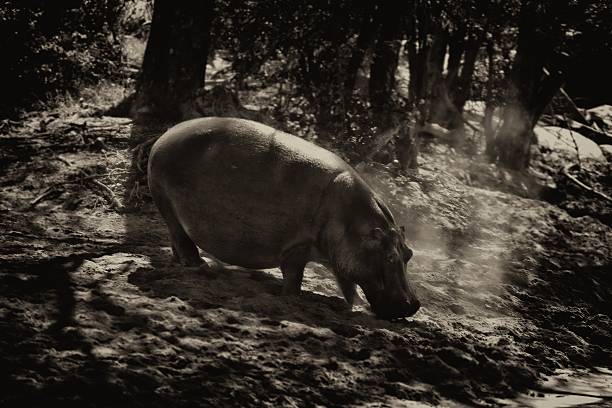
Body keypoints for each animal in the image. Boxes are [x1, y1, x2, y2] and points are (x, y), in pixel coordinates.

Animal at [148, 117, 420, 318]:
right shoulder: (298, 247)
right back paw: (200, 265)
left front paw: (357, 306)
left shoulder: (341, 257)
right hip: (166, 202)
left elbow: (349, 284)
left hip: (171, 210)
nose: (413, 305)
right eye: (390, 257)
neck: (355, 225)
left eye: (409, 254)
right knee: (181, 238)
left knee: (176, 238)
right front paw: (292, 298)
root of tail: (164, 136)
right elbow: (294, 275)